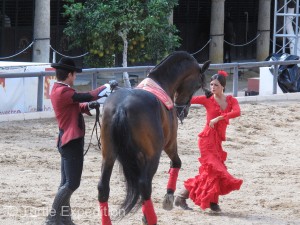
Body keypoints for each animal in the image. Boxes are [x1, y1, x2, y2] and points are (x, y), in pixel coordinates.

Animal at [97, 51, 210, 225]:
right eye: (198, 84)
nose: (183, 110)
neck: (160, 83)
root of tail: (122, 107)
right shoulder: (169, 144)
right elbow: (176, 163)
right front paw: (168, 197)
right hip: (154, 155)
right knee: (145, 185)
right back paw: (152, 218)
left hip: (108, 155)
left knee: (104, 187)